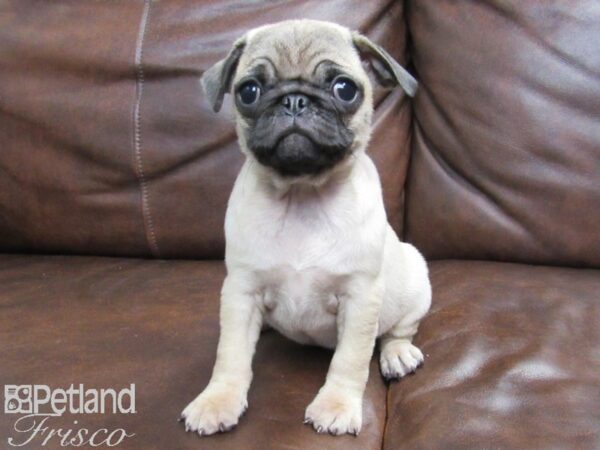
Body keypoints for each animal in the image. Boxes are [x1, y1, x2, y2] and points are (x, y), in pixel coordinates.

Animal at [180, 19, 428, 438]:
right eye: (248, 91)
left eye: (344, 89)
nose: (294, 100)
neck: (302, 195)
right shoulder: (241, 290)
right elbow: (231, 355)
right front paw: (218, 401)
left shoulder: (360, 298)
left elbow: (350, 360)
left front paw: (336, 406)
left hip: (415, 278)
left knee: (398, 330)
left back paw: (397, 354)